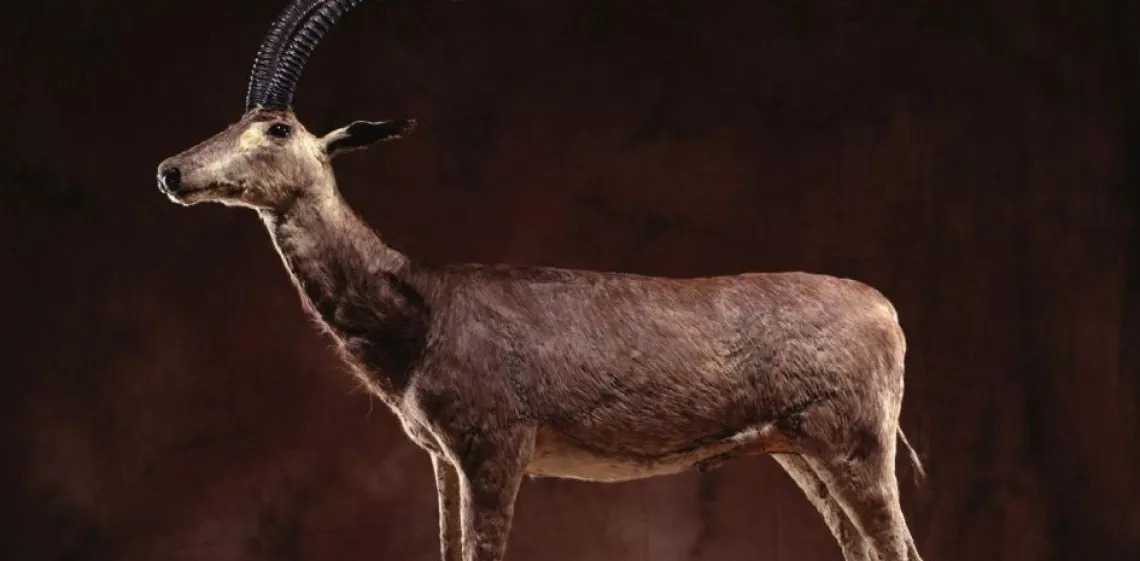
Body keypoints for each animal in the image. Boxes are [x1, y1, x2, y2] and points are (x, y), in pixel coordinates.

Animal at [155, 1, 928, 560]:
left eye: (278, 129)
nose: (171, 170)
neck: (420, 308)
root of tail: (887, 310)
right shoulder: (442, 461)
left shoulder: (493, 451)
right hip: (799, 453)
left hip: (853, 447)